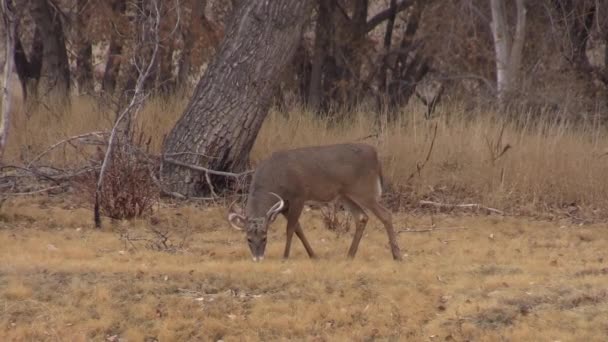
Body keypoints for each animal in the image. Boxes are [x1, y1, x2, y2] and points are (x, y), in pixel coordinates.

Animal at [226, 142, 402, 262]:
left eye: (264, 237)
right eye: (248, 239)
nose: (258, 258)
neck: (274, 179)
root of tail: (376, 155)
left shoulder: (299, 196)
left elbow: (290, 228)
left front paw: (285, 256)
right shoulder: (284, 205)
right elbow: (298, 229)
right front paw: (313, 255)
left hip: (365, 190)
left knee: (386, 214)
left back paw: (397, 255)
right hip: (346, 194)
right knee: (362, 217)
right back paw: (350, 255)